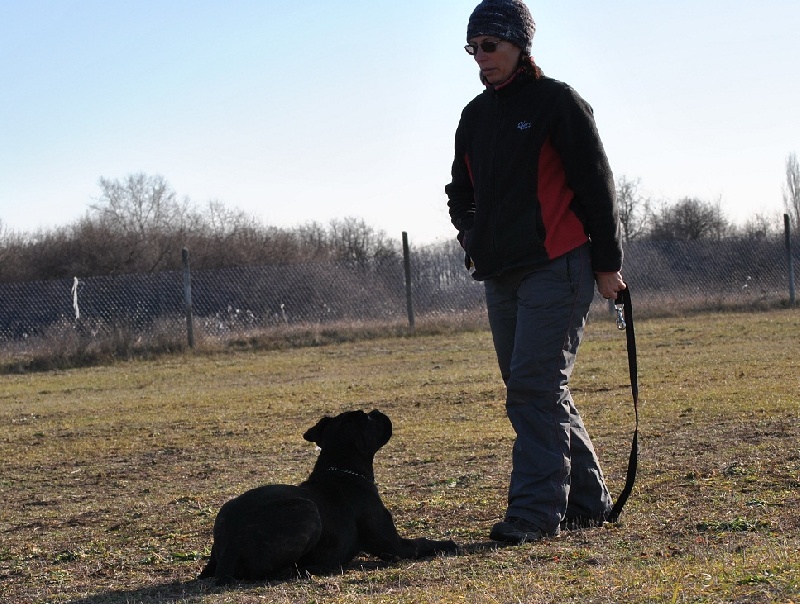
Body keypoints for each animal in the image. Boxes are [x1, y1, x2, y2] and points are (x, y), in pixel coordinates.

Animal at [198, 408, 456, 584]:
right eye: (367, 417)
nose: (377, 411)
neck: (341, 469)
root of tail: (230, 546)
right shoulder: (395, 546)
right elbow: (423, 542)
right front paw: (449, 544)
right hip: (307, 510)